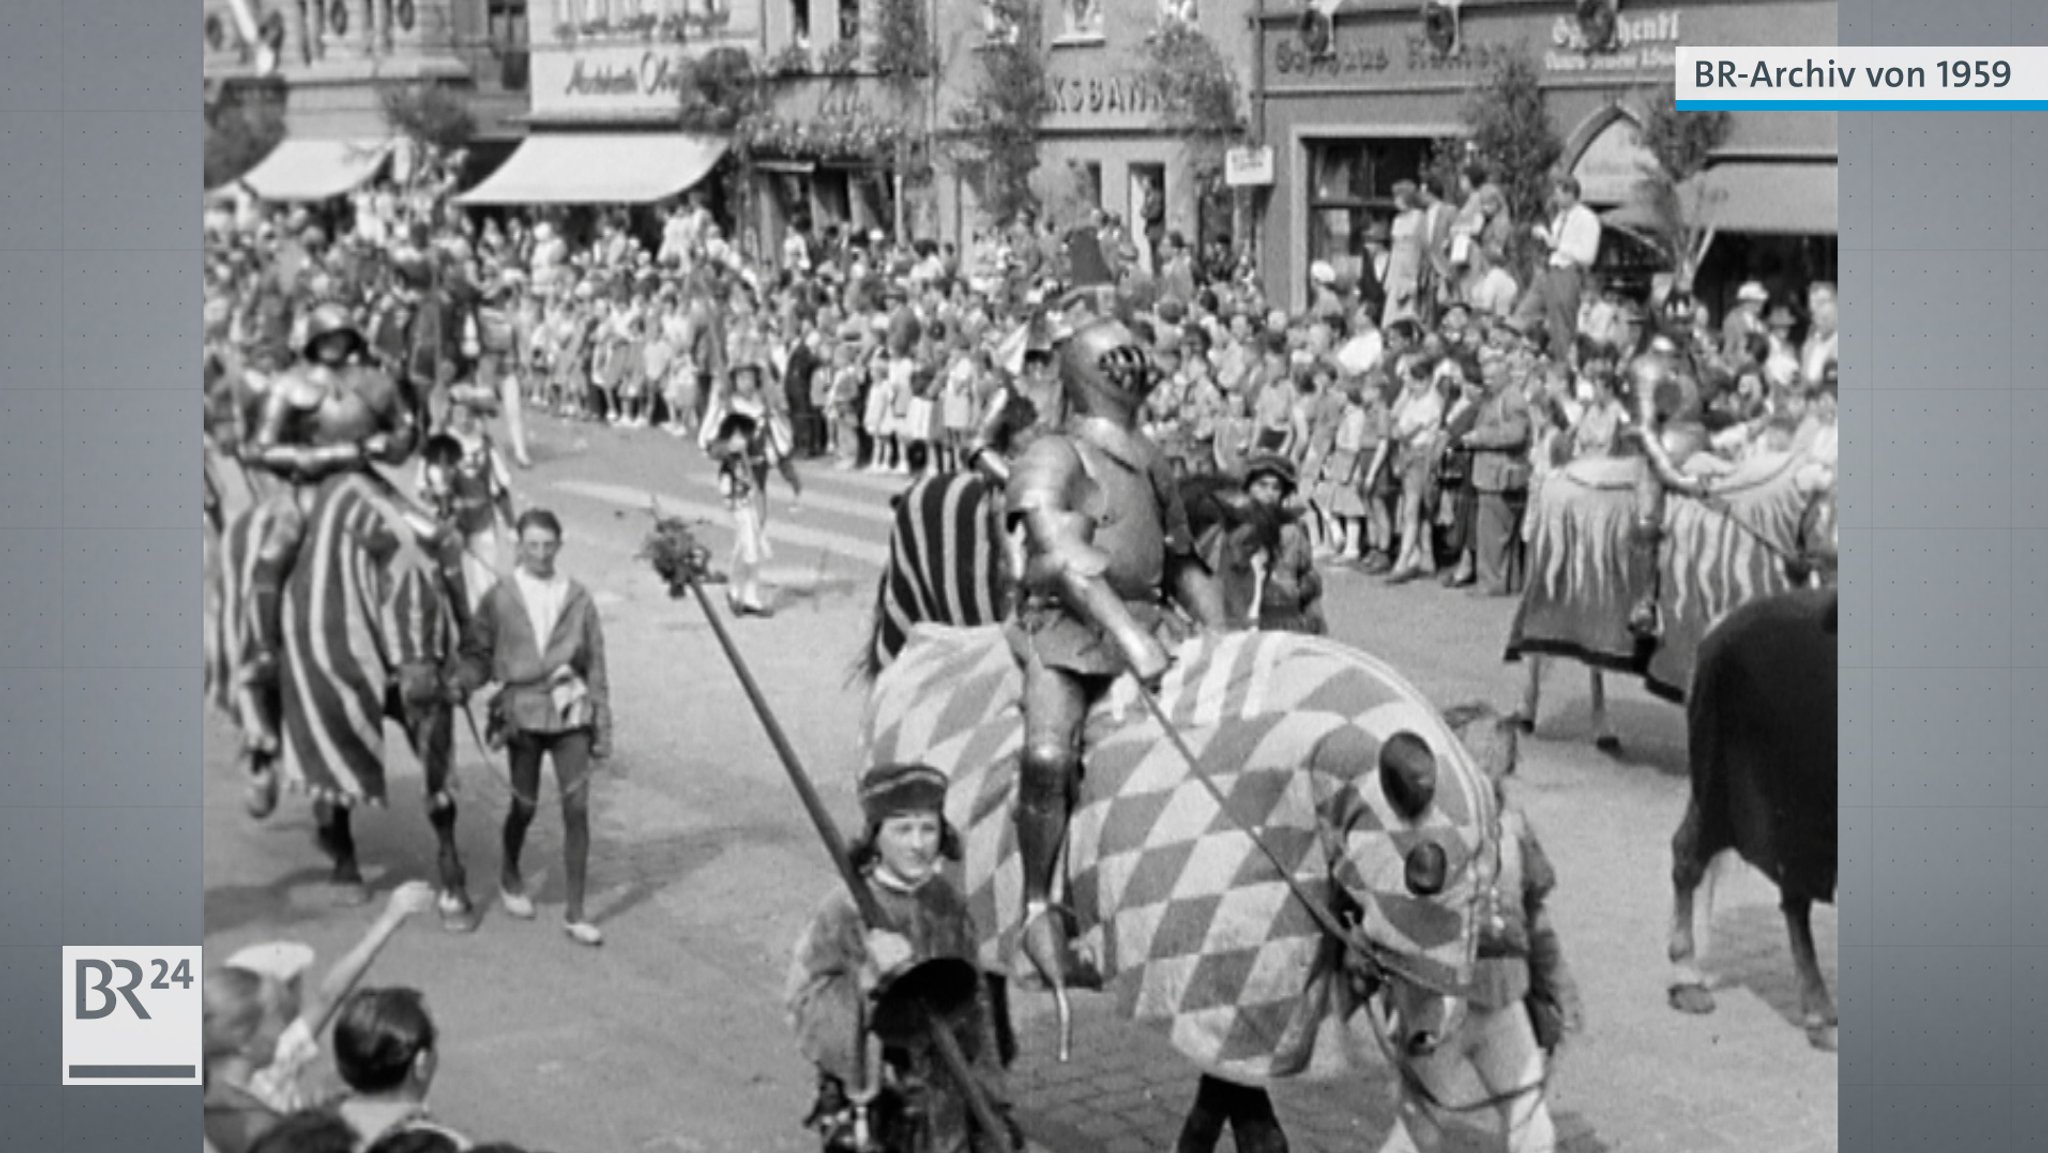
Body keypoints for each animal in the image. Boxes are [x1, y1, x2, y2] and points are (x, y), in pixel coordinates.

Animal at [207, 468, 479, 929]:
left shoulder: (432, 708)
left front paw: (455, 898)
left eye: (442, 586)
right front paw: (348, 876)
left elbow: (440, 799)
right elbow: (340, 781)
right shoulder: (328, 700)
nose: (421, 686)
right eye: (384, 587)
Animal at [864, 626, 1523, 1146]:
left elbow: (1220, 1110)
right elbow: (1252, 1125)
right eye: (1425, 872)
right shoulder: (1219, 1000)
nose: (1429, 1031)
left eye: (1492, 876)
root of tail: (922, 641)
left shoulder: (1246, 1018)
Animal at [1507, 446, 1843, 753]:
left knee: (1594, 663)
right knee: (1537, 654)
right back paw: (1527, 715)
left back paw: (1603, 731)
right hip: (1550, 589)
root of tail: (1557, 472)